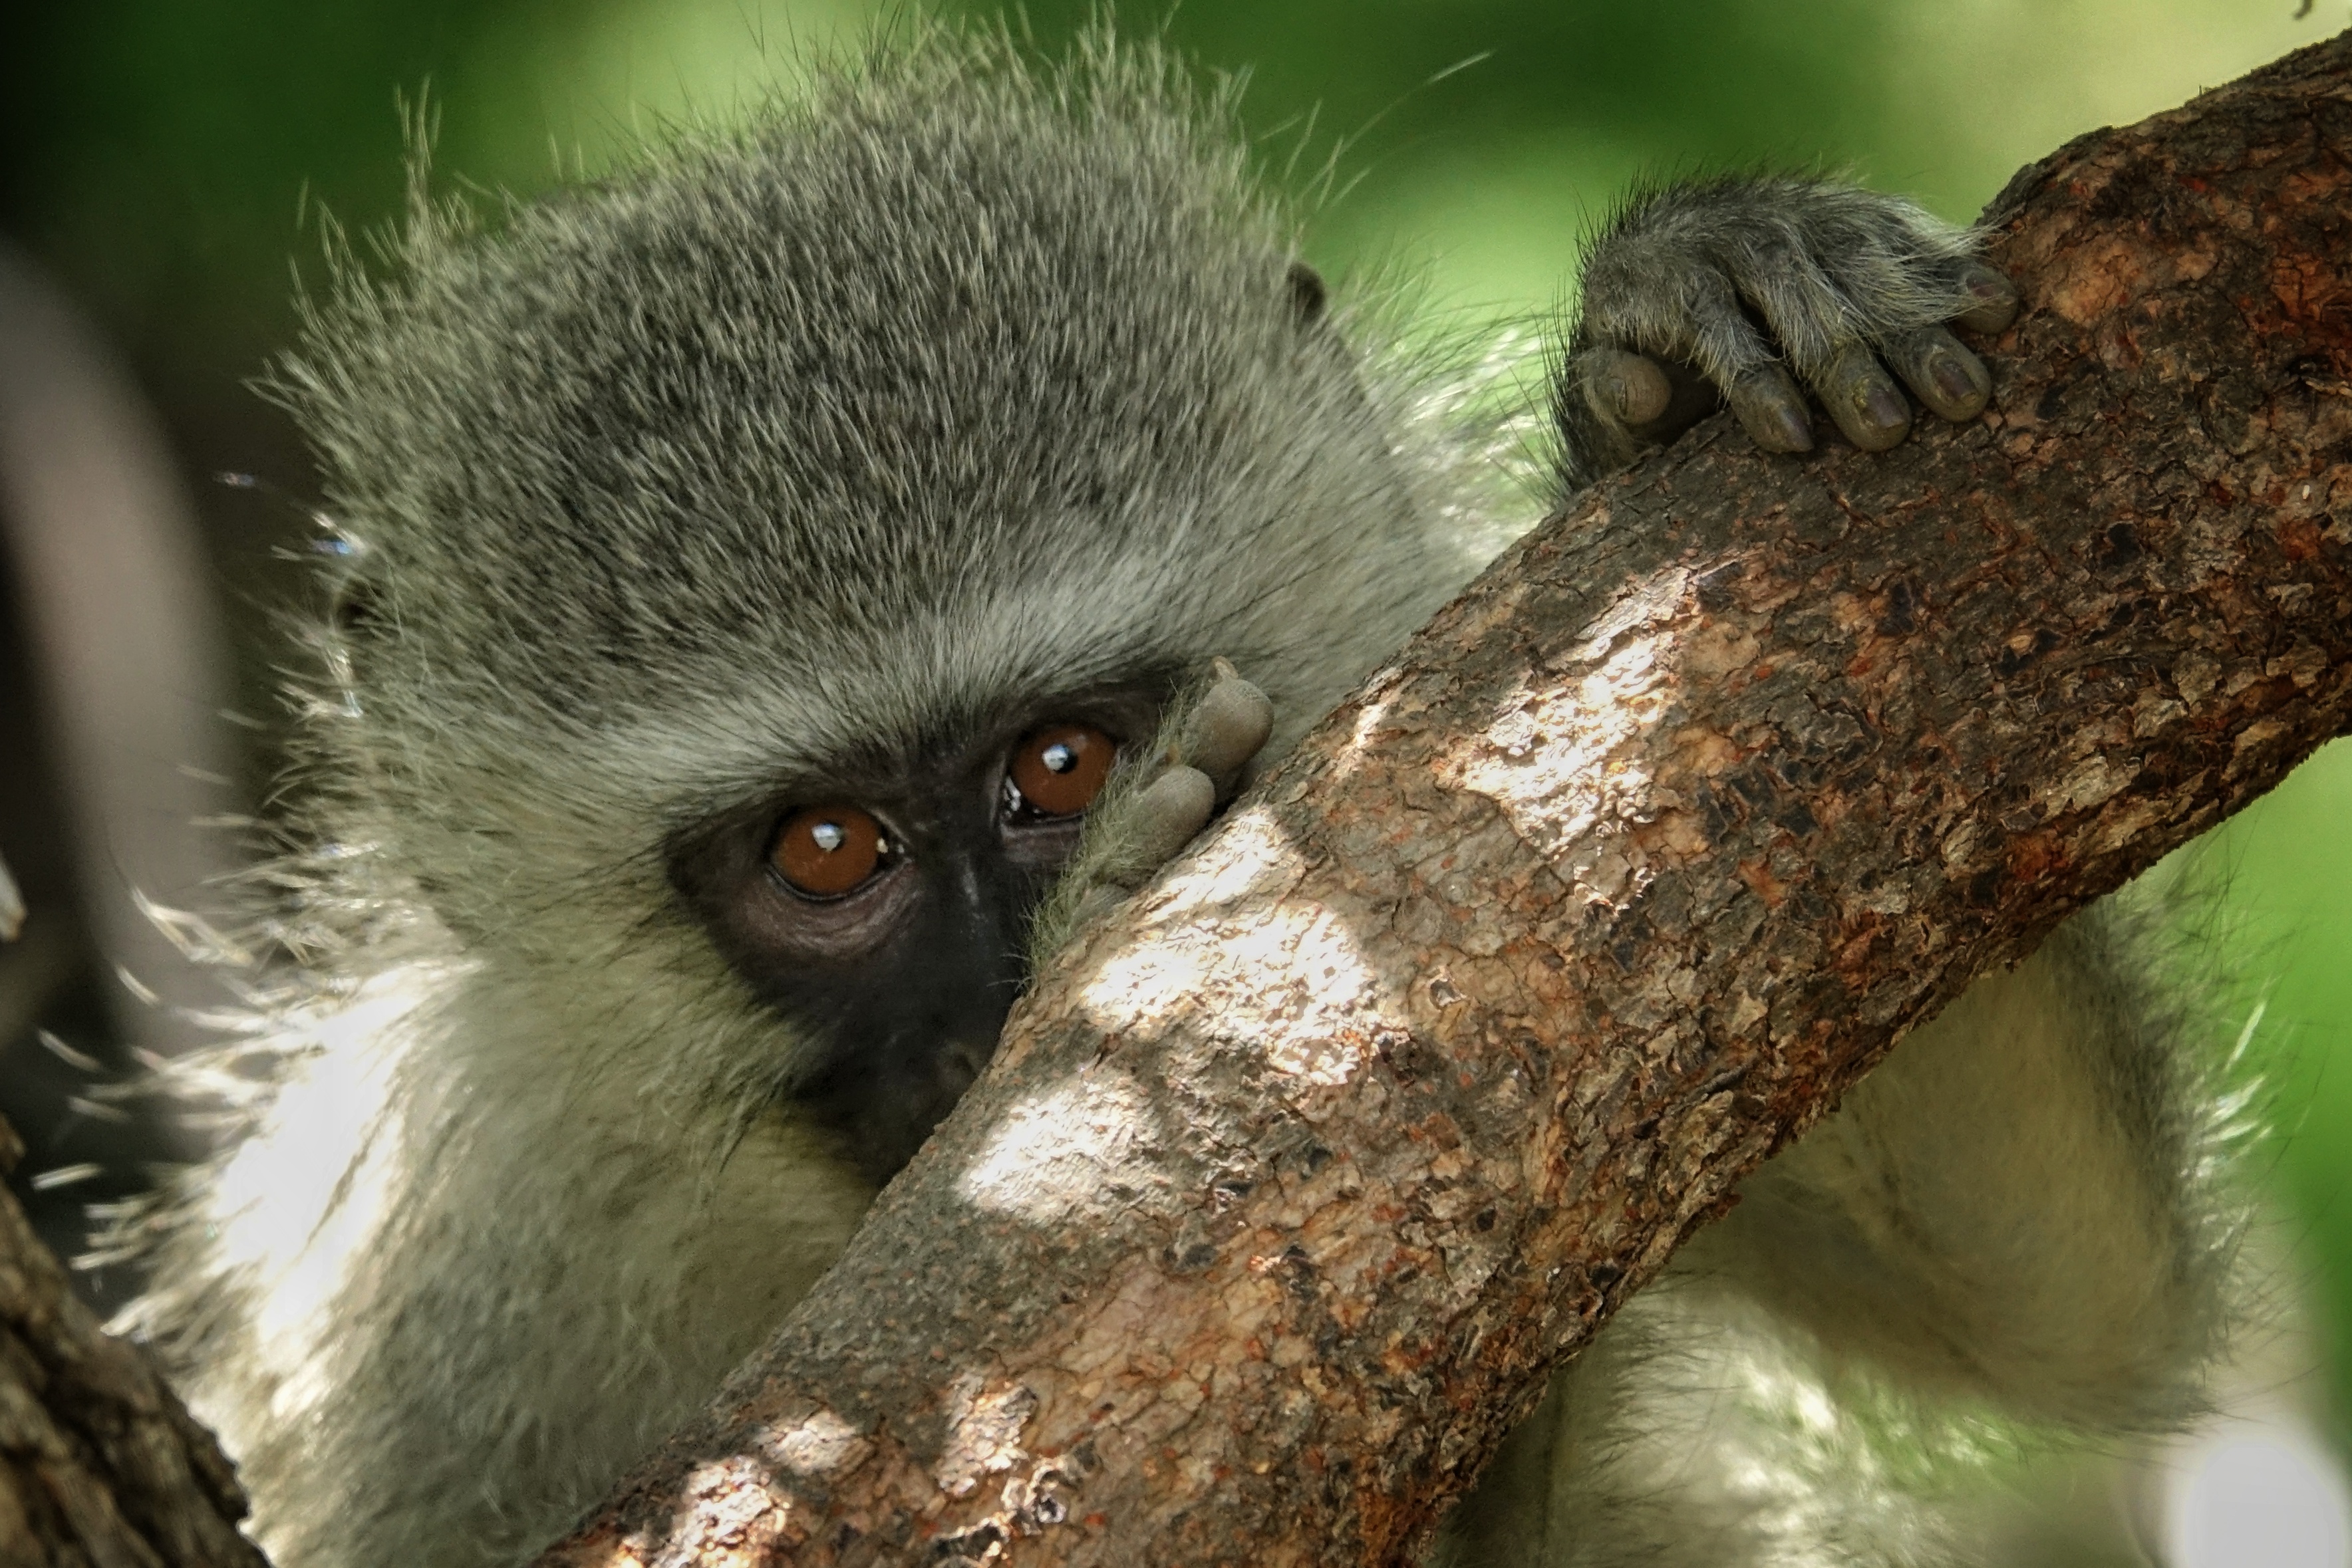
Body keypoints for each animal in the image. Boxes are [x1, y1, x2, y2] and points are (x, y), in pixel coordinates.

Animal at [117, 27, 2240, 1568]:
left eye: (1057, 764)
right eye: (827, 850)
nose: (983, 1022)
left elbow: (2059, 1298)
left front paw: (1674, 327)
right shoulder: (443, 1268)